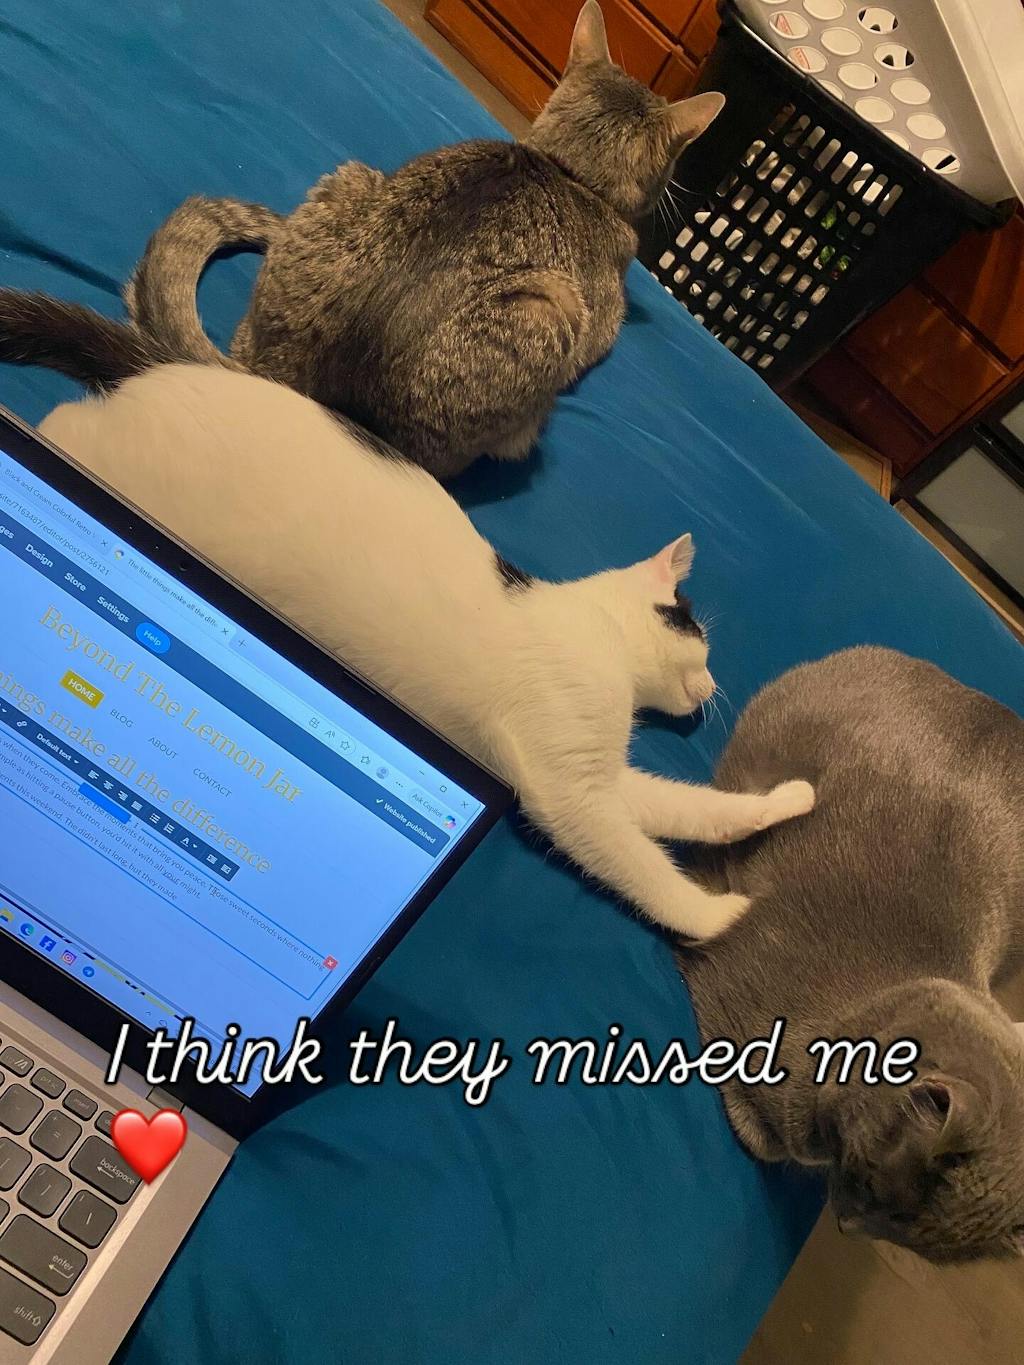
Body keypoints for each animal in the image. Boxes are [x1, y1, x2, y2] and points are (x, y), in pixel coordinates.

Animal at [37, 362, 813, 940]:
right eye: (701, 639)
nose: (712, 686)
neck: (601, 639)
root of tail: (152, 375)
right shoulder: (569, 791)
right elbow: (642, 864)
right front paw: (721, 917)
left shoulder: (605, 776)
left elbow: (691, 809)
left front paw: (785, 800)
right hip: (119, 458)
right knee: (62, 421)